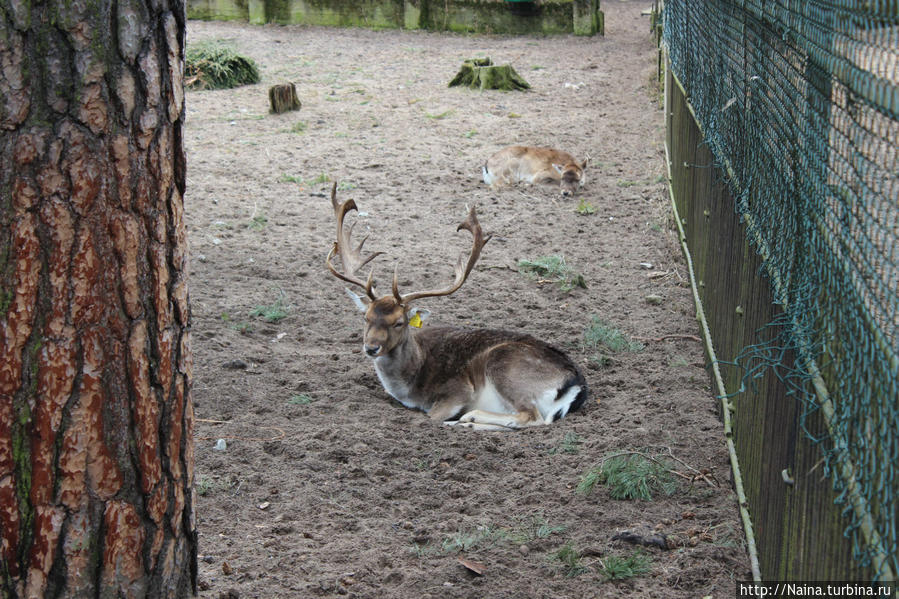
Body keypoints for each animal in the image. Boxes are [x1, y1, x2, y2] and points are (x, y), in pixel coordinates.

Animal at [326, 184, 588, 432]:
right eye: (366, 317)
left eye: (399, 322)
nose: (371, 348)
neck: (410, 383)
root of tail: (576, 385)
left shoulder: (457, 391)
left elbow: (430, 417)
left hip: (504, 365)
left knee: (531, 417)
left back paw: (469, 418)